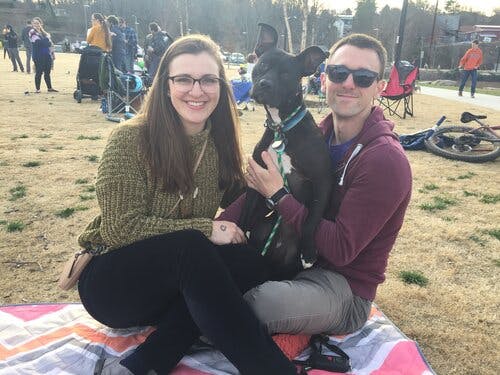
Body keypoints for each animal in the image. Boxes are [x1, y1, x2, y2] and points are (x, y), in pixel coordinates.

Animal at [239, 22, 334, 276]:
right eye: (262, 66)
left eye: (286, 75)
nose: (265, 84)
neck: (282, 129)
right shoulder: (255, 181)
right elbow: (244, 213)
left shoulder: (322, 182)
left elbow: (311, 220)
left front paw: (308, 252)